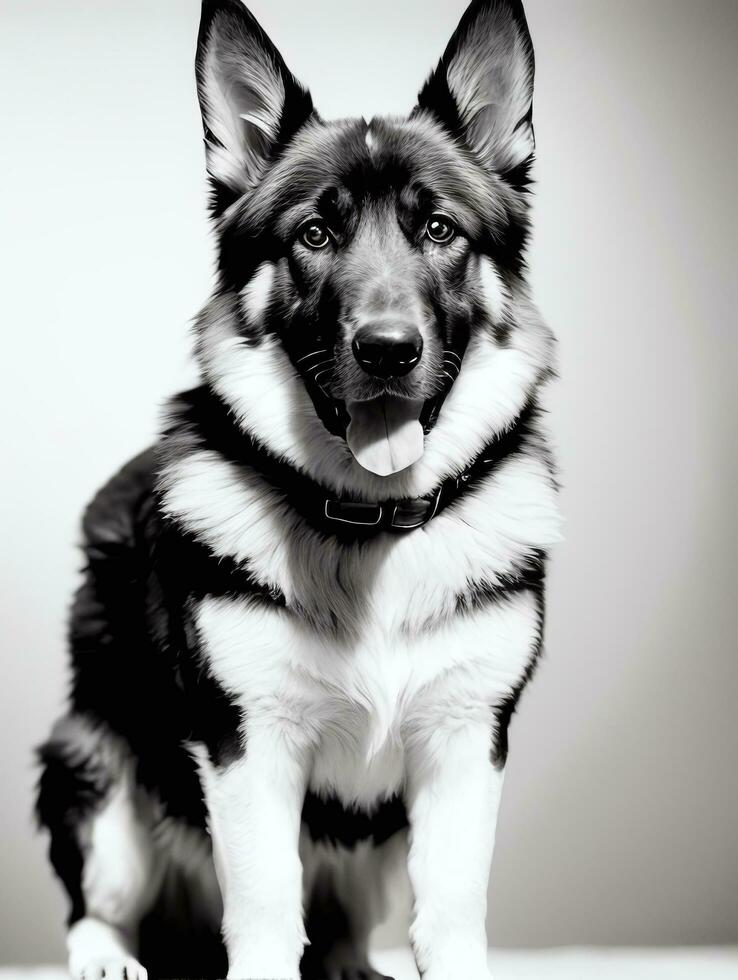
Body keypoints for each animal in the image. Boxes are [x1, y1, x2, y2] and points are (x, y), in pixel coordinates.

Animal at [36, 1, 556, 980]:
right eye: (315, 235)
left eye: (440, 231)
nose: (387, 351)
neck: (373, 522)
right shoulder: (248, 745)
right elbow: (268, 903)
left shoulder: (467, 741)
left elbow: (452, 907)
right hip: (98, 769)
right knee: (98, 897)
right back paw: (105, 955)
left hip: (373, 847)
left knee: (347, 915)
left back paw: (351, 962)